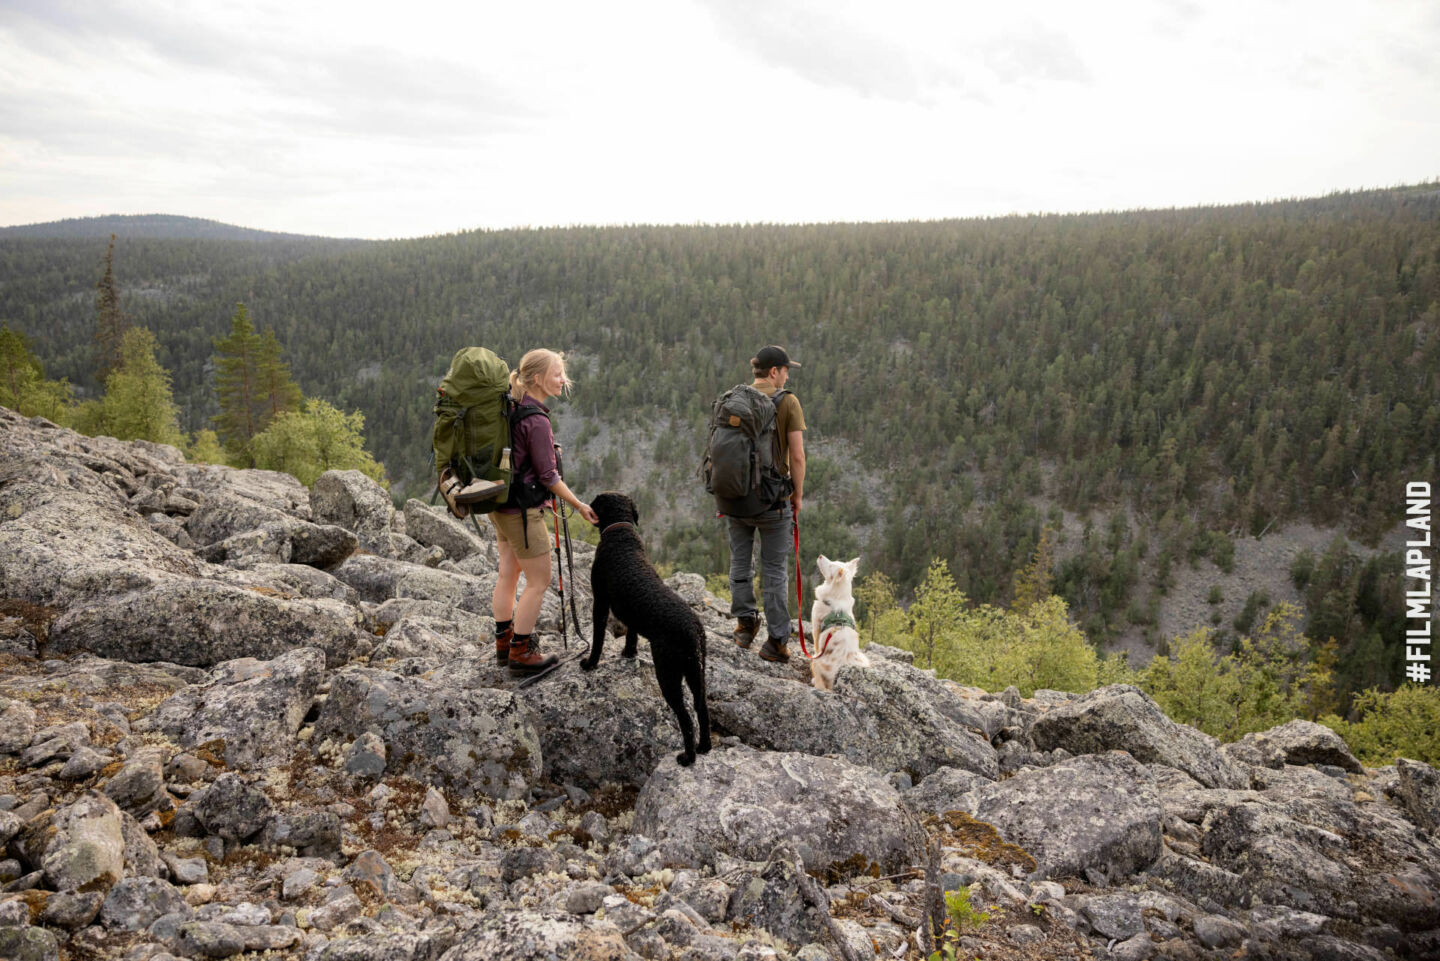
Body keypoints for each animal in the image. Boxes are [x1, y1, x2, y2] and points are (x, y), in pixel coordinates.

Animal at [581, 492, 711, 760]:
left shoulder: (600, 600)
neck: (621, 534)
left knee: (685, 716)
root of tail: (692, 630)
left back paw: (688, 757)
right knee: (701, 707)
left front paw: (590, 663)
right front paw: (629, 652)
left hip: (668, 672)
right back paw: (705, 746)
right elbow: (632, 633)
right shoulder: (630, 615)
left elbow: (598, 638)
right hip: (697, 670)